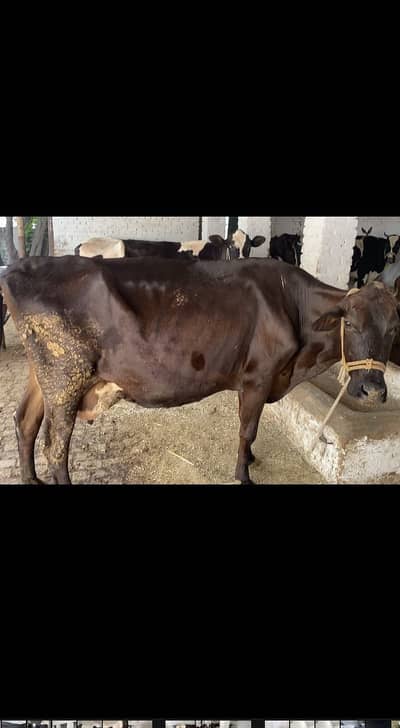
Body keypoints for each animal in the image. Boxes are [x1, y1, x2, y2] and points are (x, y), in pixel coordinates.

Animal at [1, 256, 399, 485]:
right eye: (352, 325)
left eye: (394, 327)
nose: (373, 391)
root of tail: (19, 267)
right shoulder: (258, 377)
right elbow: (248, 429)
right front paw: (243, 474)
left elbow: (247, 432)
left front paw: (249, 460)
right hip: (65, 379)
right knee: (55, 447)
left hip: (44, 377)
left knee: (25, 422)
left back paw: (31, 480)